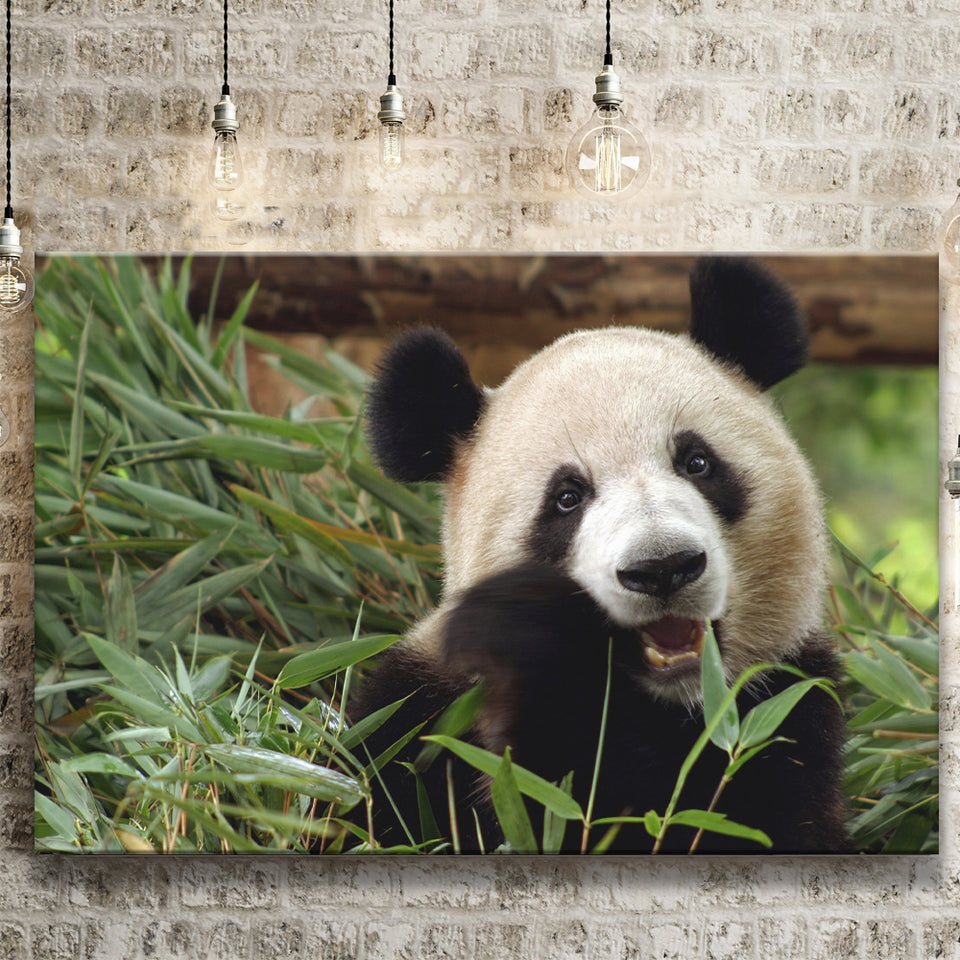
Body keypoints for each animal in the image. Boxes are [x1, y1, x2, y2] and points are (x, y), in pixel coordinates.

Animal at [352, 257, 847, 854]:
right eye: (567, 498)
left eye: (697, 463)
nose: (662, 568)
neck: (671, 706)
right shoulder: (420, 718)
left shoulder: (786, 708)